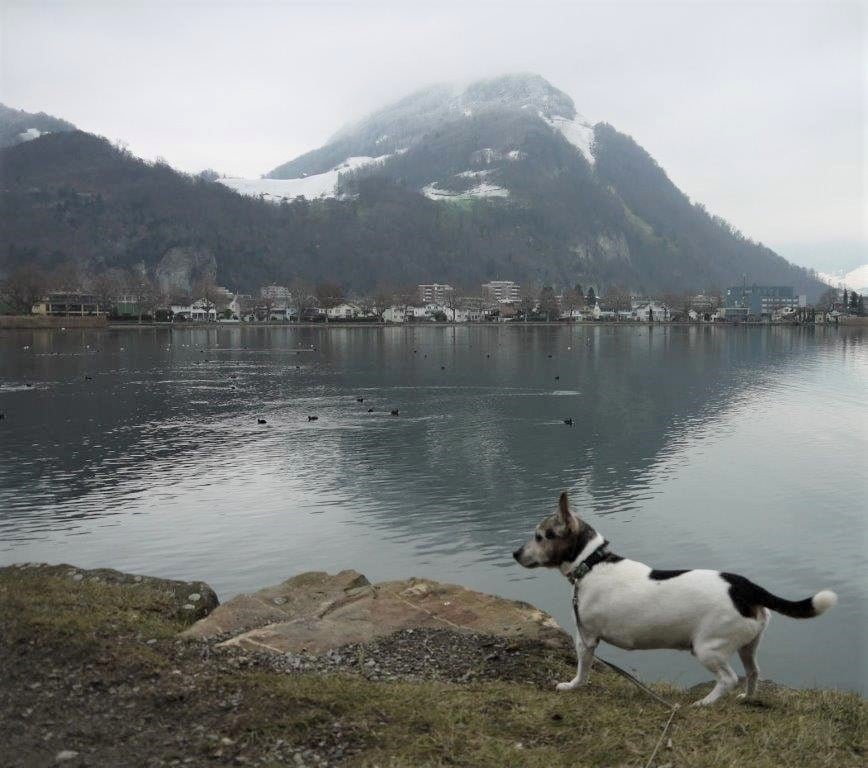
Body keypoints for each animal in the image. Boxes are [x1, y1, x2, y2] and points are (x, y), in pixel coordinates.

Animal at [513, 491, 837, 705]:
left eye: (540, 536)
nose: (515, 553)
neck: (592, 563)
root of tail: (744, 587)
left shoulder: (586, 639)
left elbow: (583, 670)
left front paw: (572, 686)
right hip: (748, 645)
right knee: (752, 673)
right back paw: (746, 698)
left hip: (708, 648)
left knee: (728, 680)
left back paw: (704, 704)